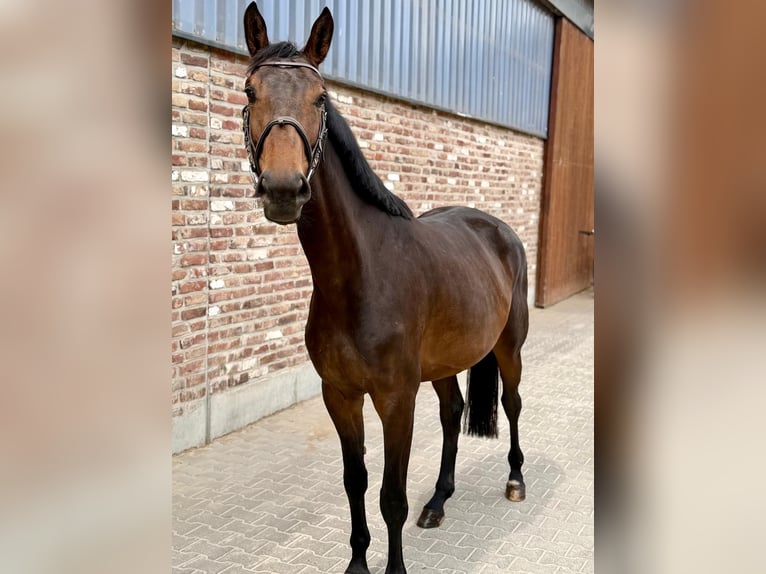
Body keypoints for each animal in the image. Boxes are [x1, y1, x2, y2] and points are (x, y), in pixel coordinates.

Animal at [241, 4, 529, 573]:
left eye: (320, 98)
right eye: (249, 91)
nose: (284, 189)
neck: (358, 278)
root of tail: (497, 228)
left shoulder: (396, 399)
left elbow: (390, 497)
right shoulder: (341, 396)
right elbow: (355, 482)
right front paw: (357, 562)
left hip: (508, 347)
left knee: (511, 403)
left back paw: (514, 479)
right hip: (444, 363)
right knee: (452, 413)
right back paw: (438, 501)